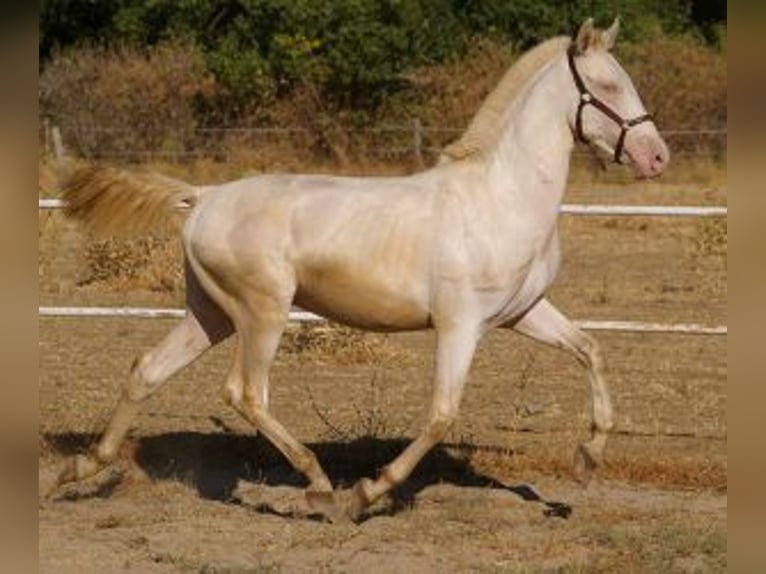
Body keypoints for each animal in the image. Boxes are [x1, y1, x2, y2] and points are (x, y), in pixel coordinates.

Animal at [44, 18, 669, 522]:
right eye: (607, 86)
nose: (657, 157)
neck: (501, 197)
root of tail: (204, 197)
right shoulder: (460, 324)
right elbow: (441, 414)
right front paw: (368, 493)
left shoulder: (524, 313)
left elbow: (591, 350)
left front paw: (587, 461)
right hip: (262, 312)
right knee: (245, 393)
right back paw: (320, 486)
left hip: (211, 312)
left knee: (147, 370)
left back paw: (77, 470)